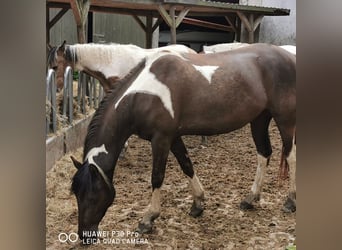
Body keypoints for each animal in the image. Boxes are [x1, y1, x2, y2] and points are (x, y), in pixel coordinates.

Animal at [70, 44, 296, 241]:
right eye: (76, 194)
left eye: (92, 196)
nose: (84, 235)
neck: (143, 94)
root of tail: (289, 56)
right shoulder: (173, 137)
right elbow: (186, 165)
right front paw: (198, 204)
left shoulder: (161, 139)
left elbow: (157, 177)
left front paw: (148, 219)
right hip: (259, 119)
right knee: (264, 153)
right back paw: (250, 199)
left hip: (284, 118)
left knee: (290, 155)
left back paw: (290, 201)